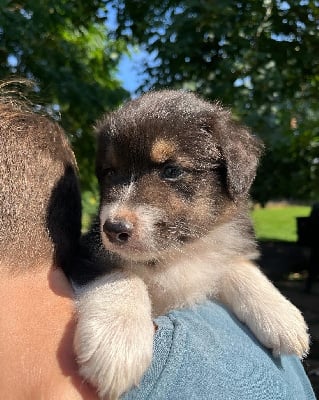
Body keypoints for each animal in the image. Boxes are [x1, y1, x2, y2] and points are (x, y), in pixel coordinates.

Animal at [72, 90, 310, 400]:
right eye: (110, 172)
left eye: (171, 170)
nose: (113, 229)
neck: (177, 253)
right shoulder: (84, 252)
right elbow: (122, 275)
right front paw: (117, 343)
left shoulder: (218, 251)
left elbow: (237, 266)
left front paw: (282, 317)